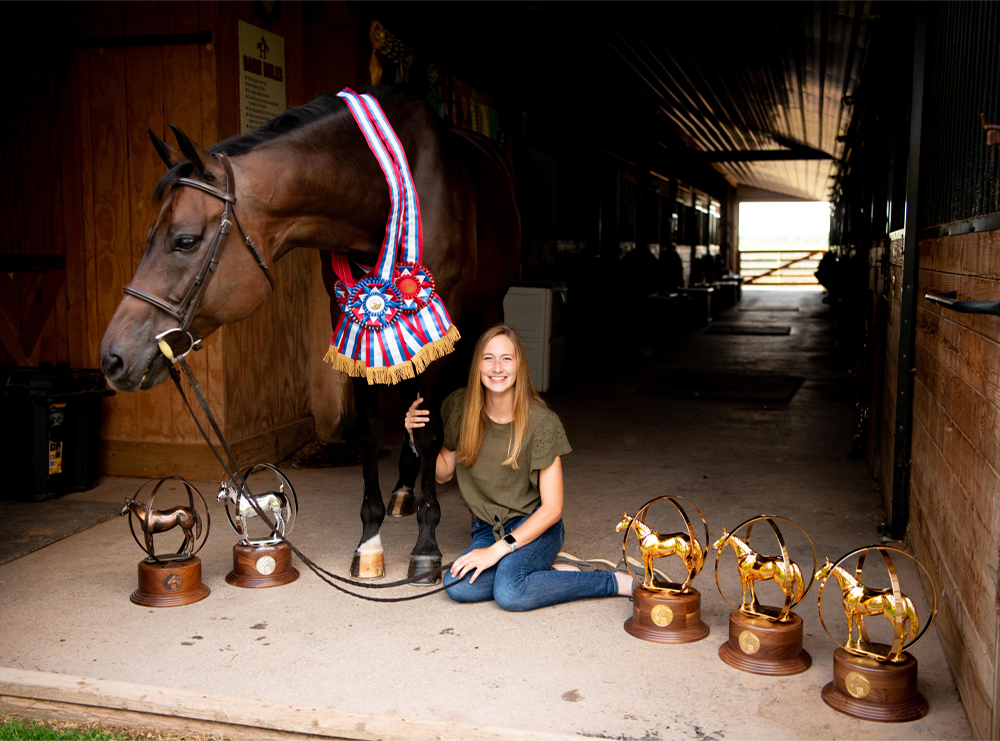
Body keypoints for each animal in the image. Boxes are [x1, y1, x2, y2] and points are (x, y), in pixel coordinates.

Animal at [100, 86, 520, 580]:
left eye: (184, 240)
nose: (113, 358)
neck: (381, 195)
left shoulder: (439, 319)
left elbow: (431, 430)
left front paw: (426, 547)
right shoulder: (354, 322)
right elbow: (373, 430)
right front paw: (370, 541)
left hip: (486, 307)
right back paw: (403, 487)